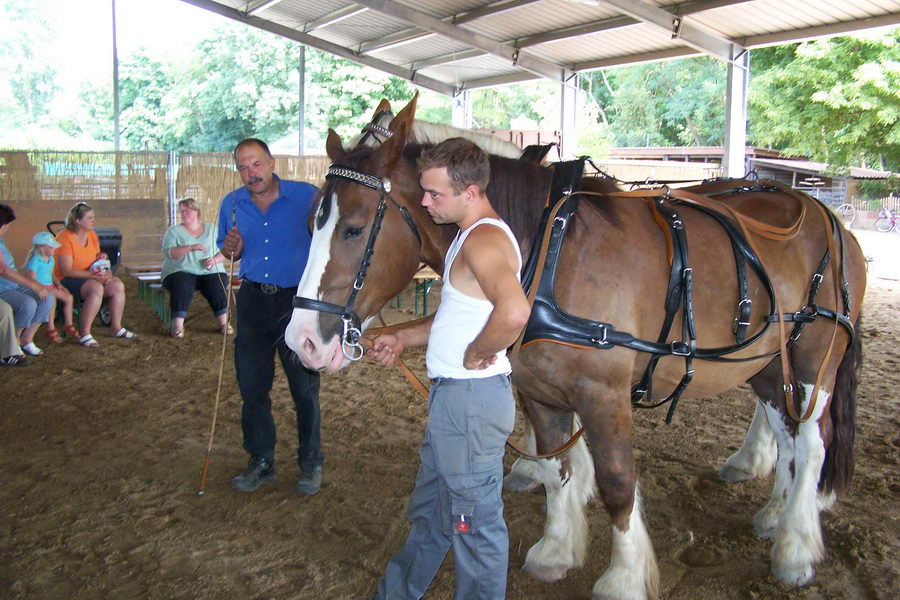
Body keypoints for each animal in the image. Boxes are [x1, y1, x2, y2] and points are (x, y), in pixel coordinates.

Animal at [286, 96, 864, 596]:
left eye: (354, 228)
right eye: (310, 222)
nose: (303, 342)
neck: (544, 249)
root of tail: (828, 217)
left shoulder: (603, 394)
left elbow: (616, 482)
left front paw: (624, 578)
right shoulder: (541, 391)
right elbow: (557, 465)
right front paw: (557, 548)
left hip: (813, 359)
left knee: (811, 443)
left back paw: (795, 546)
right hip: (767, 362)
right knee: (785, 434)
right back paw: (776, 511)